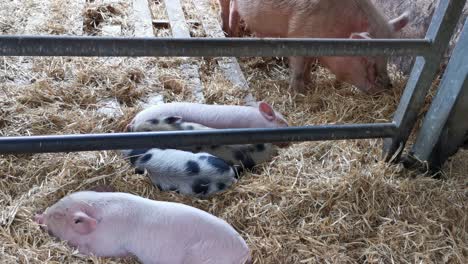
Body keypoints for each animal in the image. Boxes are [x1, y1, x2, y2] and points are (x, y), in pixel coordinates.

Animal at [225, 0, 408, 94]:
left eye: (387, 58)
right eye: (367, 61)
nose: (388, 87)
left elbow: (309, 63)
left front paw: (310, 83)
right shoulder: (298, 36)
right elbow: (298, 68)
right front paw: (298, 93)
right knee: (228, 10)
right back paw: (230, 33)